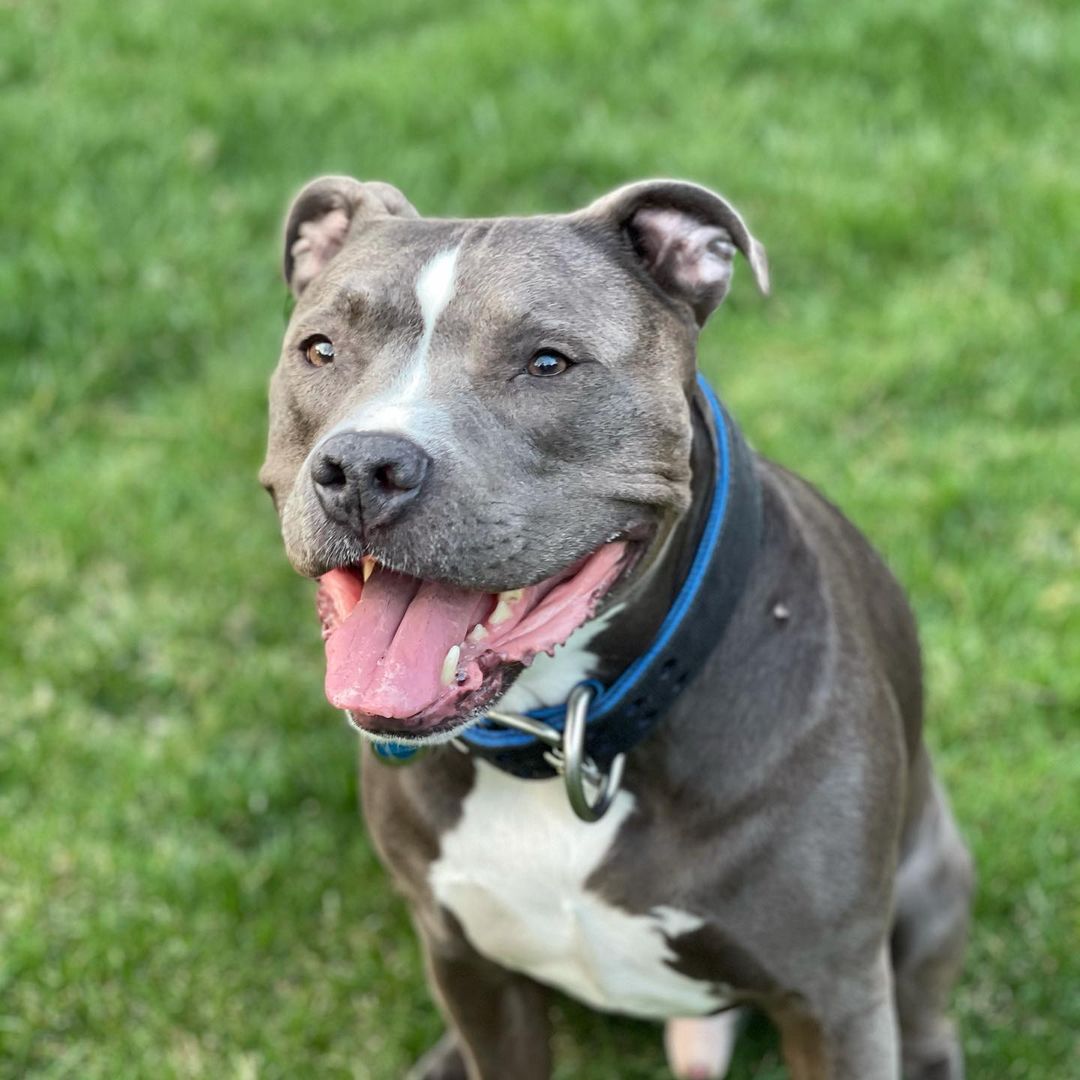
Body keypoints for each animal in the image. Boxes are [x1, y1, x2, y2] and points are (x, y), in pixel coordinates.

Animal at [257, 179, 976, 1080]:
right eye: (319, 350)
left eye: (548, 363)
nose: (363, 468)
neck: (566, 731)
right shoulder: (471, 968)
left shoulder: (834, 1000)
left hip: (931, 886)